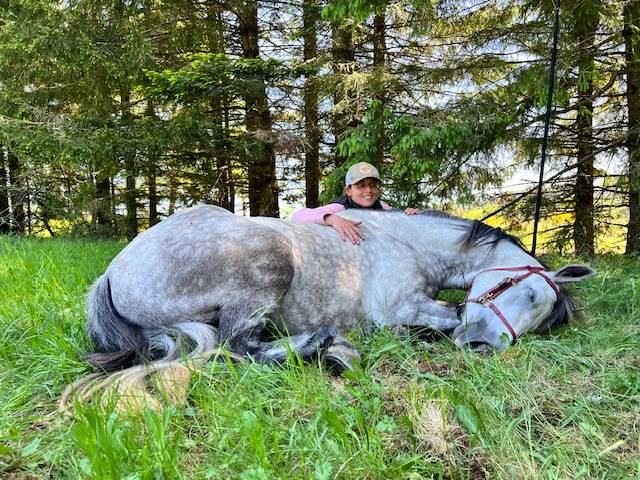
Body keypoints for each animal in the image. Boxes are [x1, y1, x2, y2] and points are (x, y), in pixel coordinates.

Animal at [83, 205, 595, 375]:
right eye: (524, 292)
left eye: (540, 319)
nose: (483, 346)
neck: (404, 240)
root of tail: (113, 272)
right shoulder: (400, 308)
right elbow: (445, 316)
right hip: (268, 266)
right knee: (237, 346)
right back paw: (328, 346)